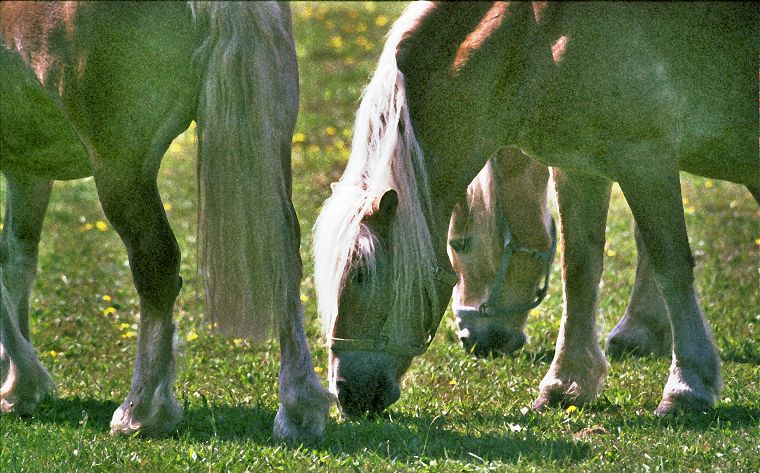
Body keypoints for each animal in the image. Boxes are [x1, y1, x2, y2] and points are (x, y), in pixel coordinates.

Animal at [0, 1, 332, 440]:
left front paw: (25, 377)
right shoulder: (28, 170)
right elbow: (17, 262)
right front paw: (17, 385)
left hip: (121, 169)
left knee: (156, 266)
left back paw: (141, 411)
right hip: (270, 146)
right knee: (282, 259)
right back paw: (299, 408)